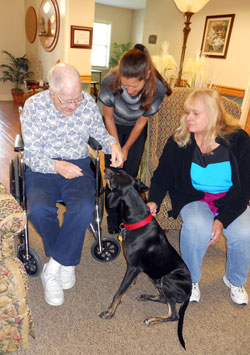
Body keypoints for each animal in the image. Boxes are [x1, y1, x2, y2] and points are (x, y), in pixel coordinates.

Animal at [99, 170, 191, 350]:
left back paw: (152, 319)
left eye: (116, 174)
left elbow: (118, 293)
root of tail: (190, 292)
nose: (106, 169)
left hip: (167, 279)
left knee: (174, 315)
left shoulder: (133, 268)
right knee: (163, 299)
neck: (136, 220)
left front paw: (110, 312)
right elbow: (125, 288)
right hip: (155, 278)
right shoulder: (134, 269)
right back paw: (147, 296)